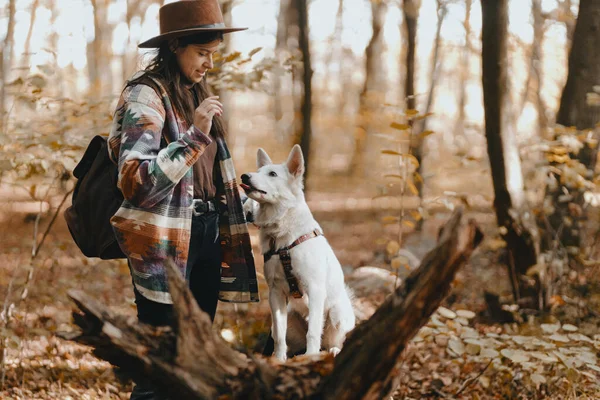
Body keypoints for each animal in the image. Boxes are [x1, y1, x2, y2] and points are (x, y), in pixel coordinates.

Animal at [240, 145, 354, 360]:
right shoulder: (275, 293)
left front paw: (311, 356)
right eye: (258, 171)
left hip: (337, 313)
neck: (282, 237)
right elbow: (278, 334)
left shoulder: (315, 289)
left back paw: (333, 350)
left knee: (334, 340)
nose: (244, 176)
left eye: (272, 174)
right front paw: (278, 360)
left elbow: (313, 332)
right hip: (292, 313)